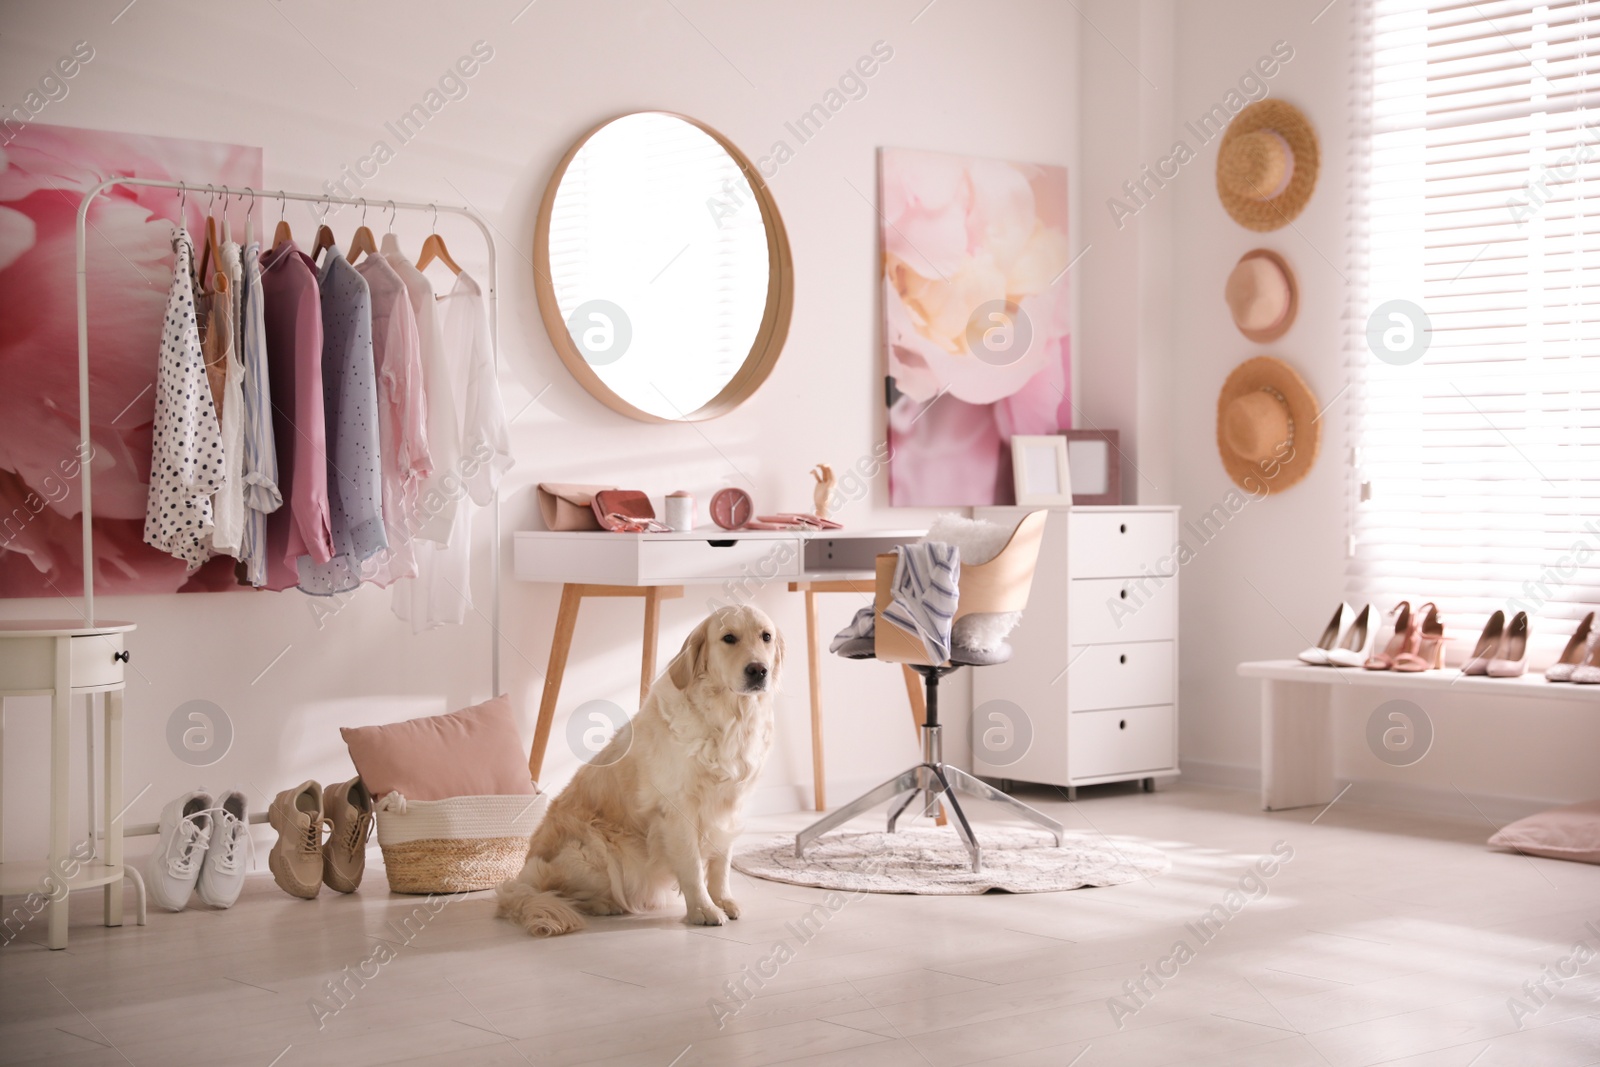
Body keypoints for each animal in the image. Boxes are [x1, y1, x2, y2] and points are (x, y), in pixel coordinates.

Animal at [492, 604, 780, 940]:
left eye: (766, 637)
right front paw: (704, 910)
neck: (728, 718)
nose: (758, 670)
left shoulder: (728, 809)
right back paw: (605, 905)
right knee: (558, 893)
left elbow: (720, 865)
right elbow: (693, 867)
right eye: (729, 638)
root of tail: (522, 876)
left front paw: (723, 900)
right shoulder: (678, 810)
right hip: (597, 851)